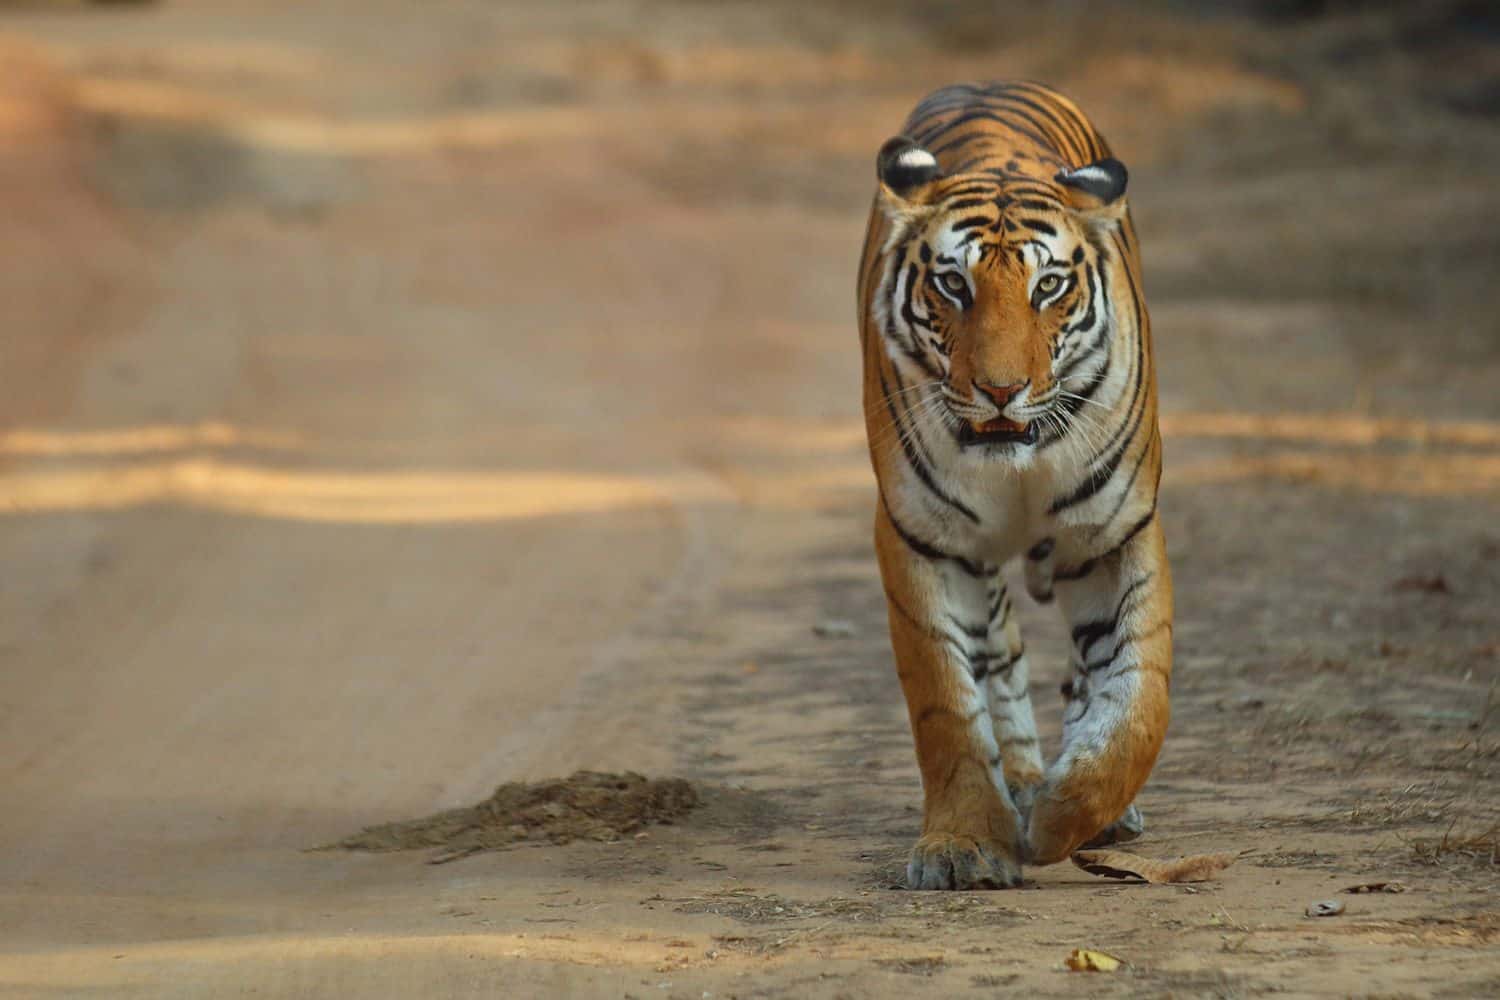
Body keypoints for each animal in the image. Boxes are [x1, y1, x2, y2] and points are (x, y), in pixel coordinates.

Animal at [858, 82, 1170, 887]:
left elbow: (1139, 697)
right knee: (997, 658)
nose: (1001, 391)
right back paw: (1024, 781)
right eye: (953, 284)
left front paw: (1069, 816)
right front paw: (964, 843)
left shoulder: (1117, 532)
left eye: (1048, 286)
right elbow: (946, 705)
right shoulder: (923, 539)